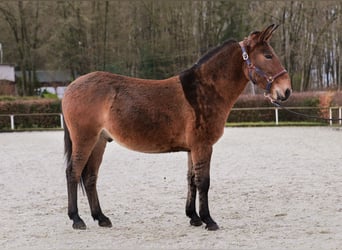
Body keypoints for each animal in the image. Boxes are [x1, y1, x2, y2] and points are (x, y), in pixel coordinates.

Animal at [61, 23, 292, 230]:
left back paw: (101, 218)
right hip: (85, 139)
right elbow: (203, 182)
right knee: (73, 172)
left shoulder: (192, 149)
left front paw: (194, 218)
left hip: (99, 142)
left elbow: (191, 180)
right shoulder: (203, 146)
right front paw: (209, 220)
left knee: (90, 177)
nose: (286, 91)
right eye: (268, 56)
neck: (204, 91)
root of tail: (71, 87)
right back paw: (76, 219)